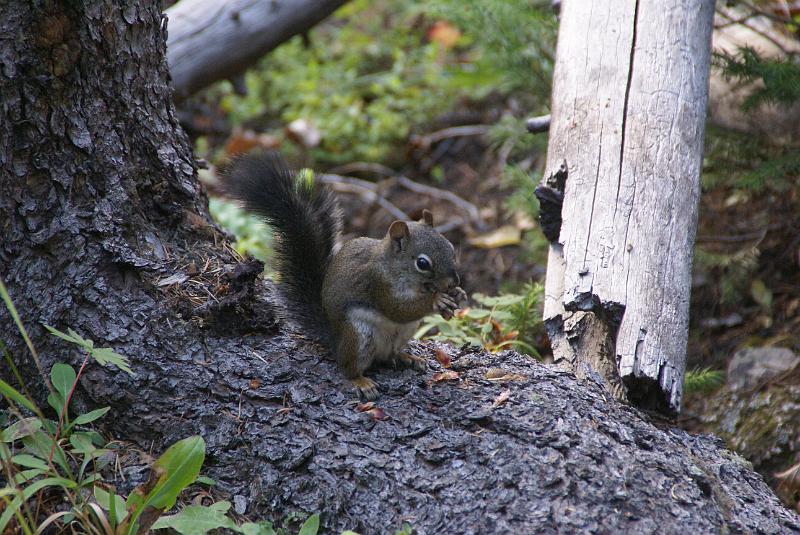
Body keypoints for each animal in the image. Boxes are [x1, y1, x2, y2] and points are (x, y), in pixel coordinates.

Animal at [222, 153, 466, 400]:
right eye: (422, 263)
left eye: (450, 247)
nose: (453, 282)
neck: (397, 270)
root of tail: (335, 339)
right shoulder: (377, 283)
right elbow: (397, 309)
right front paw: (437, 300)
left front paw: (457, 294)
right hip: (358, 336)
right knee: (348, 367)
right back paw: (361, 381)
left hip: (403, 332)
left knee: (389, 356)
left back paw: (408, 357)